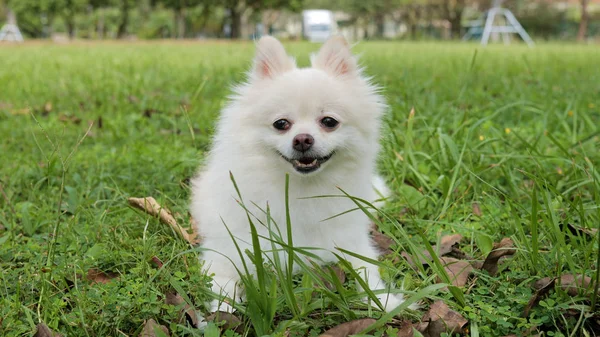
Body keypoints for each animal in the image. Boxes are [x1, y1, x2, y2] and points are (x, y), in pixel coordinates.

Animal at [191, 34, 408, 312]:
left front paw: (385, 301)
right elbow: (224, 282)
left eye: (329, 122)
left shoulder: (351, 242)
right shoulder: (229, 249)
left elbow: (367, 271)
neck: (301, 189)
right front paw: (224, 310)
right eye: (281, 124)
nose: (303, 139)